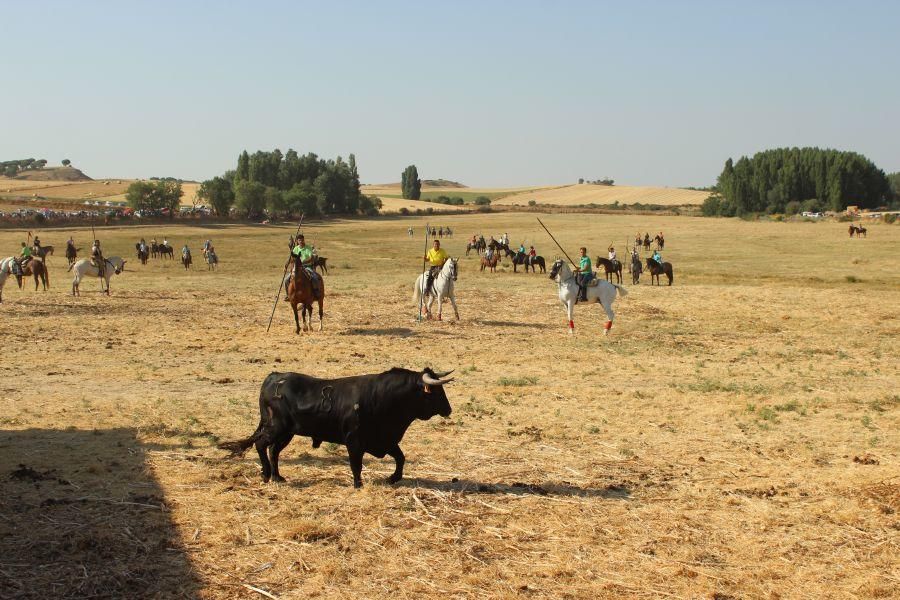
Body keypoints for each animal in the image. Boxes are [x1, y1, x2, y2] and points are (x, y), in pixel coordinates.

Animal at [221, 366, 454, 488]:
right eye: (436, 392)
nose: (449, 409)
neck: (383, 397)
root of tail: (274, 377)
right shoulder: (354, 441)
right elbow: (356, 465)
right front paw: (358, 485)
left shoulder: (385, 440)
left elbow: (401, 458)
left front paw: (393, 478)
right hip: (277, 428)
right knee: (262, 444)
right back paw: (266, 475)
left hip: (287, 433)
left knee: (274, 450)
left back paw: (278, 476)